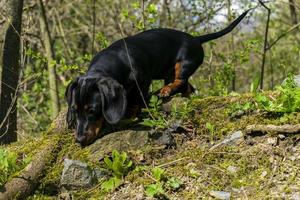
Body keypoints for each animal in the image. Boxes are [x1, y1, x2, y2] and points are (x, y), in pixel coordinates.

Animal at [66, 9, 251, 145]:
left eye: (93, 111)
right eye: (74, 110)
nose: (79, 140)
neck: (114, 59)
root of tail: (196, 38)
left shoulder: (143, 80)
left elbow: (138, 97)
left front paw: (131, 111)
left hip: (182, 64)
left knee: (180, 81)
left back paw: (165, 91)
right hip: (169, 72)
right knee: (187, 87)